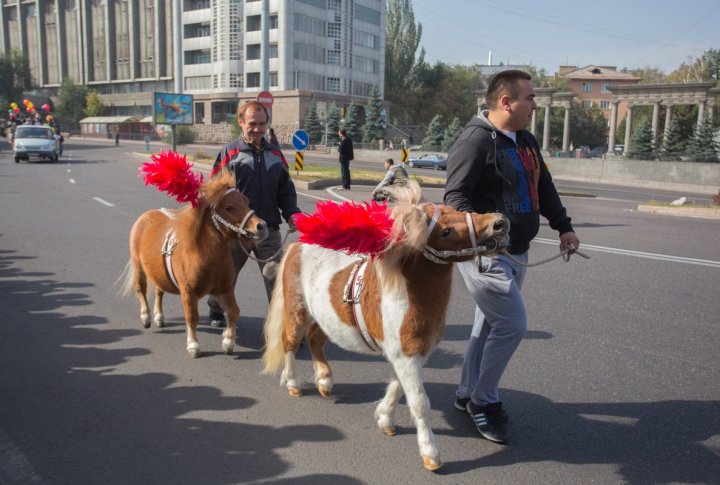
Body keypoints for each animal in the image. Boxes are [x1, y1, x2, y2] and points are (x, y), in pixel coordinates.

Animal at [121, 169, 268, 356]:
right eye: (229, 207)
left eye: (247, 202)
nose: (261, 226)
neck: (207, 256)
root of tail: (146, 216)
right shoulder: (188, 292)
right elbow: (192, 317)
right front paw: (193, 345)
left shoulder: (224, 289)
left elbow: (234, 311)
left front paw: (228, 341)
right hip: (138, 266)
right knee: (141, 289)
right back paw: (146, 317)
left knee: (159, 292)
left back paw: (159, 317)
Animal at [262, 182, 510, 468]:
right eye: (445, 230)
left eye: (457, 210)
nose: (500, 223)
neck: (408, 293)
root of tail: (297, 246)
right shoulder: (406, 354)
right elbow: (419, 402)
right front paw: (430, 453)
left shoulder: (411, 353)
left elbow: (398, 387)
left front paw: (384, 419)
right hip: (298, 312)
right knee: (290, 342)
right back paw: (293, 383)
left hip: (324, 319)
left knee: (314, 339)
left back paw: (324, 381)